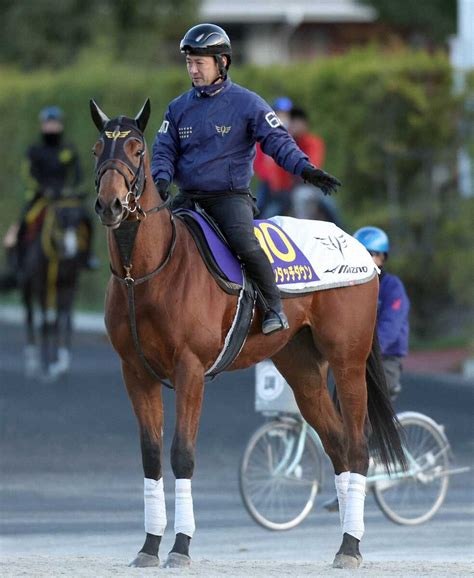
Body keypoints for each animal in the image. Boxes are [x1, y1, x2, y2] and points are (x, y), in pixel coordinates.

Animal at [90, 99, 404, 568]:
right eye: (97, 149)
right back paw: (344, 541)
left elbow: (182, 454)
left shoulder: (190, 371)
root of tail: (358, 248)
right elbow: (151, 457)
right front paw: (148, 546)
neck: (146, 272)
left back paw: (351, 546)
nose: (110, 203)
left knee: (357, 448)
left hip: (347, 364)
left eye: (135, 148)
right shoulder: (136, 373)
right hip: (302, 370)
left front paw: (180, 547)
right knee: (336, 446)